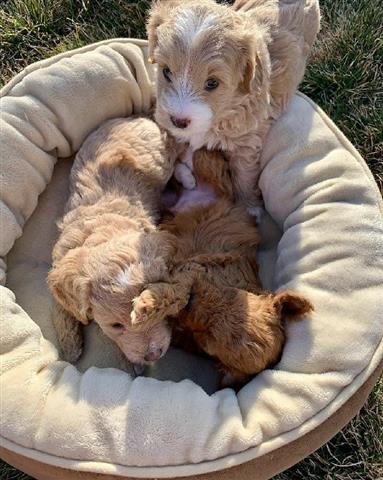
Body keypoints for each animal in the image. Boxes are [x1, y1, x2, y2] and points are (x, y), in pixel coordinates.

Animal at [48, 116, 180, 364]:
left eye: (161, 312)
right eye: (116, 325)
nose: (153, 355)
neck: (106, 234)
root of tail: (134, 118)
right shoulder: (61, 261)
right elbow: (62, 304)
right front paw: (70, 345)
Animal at [130, 150, 314, 386]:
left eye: (208, 338)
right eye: (232, 295)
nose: (193, 299)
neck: (219, 283)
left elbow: (173, 300)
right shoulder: (197, 269)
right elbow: (175, 292)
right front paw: (146, 307)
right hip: (211, 171)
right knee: (201, 160)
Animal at [147, 0, 320, 210]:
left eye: (212, 83)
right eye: (166, 71)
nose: (178, 121)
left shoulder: (245, 144)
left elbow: (244, 177)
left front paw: (248, 208)